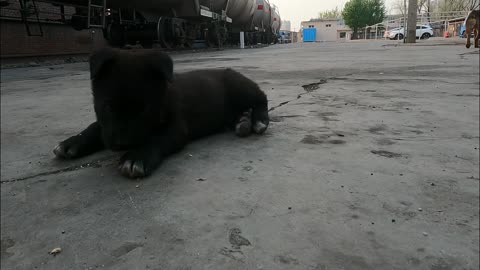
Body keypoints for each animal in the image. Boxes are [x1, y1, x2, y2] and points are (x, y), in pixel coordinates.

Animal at [54, 48, 270, 179]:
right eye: (107, 107)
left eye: (145, 109)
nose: (123, 144)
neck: (163, 97)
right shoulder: (104, 123)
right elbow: (95, 126)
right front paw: (73, 142)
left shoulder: (177, 128)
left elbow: (156, 138)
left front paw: (137, 157)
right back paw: (243, 121)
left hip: (239, 86)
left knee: (261, 98)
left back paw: (257, 120)